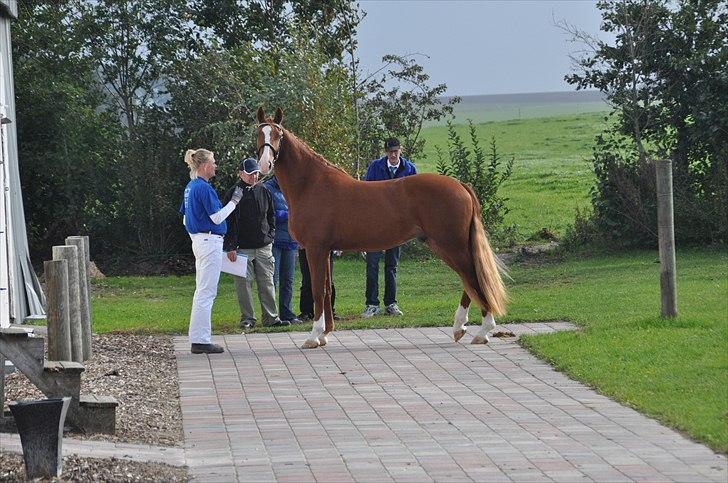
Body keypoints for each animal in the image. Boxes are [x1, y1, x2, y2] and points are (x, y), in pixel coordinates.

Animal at [256, 107, 506, 348]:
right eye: (258, 133)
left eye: (278, 134)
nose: (264, 165)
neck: (311, 184)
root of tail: (461, 185)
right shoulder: (325, 251)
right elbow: (326, 289)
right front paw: (325, 334)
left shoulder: (315, 249)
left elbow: (318, 290)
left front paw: (313, 336)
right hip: (447, 245)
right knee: (469, 280)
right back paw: (462, 328)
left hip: (451, 244)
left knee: (473, 278)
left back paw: (481, 331)